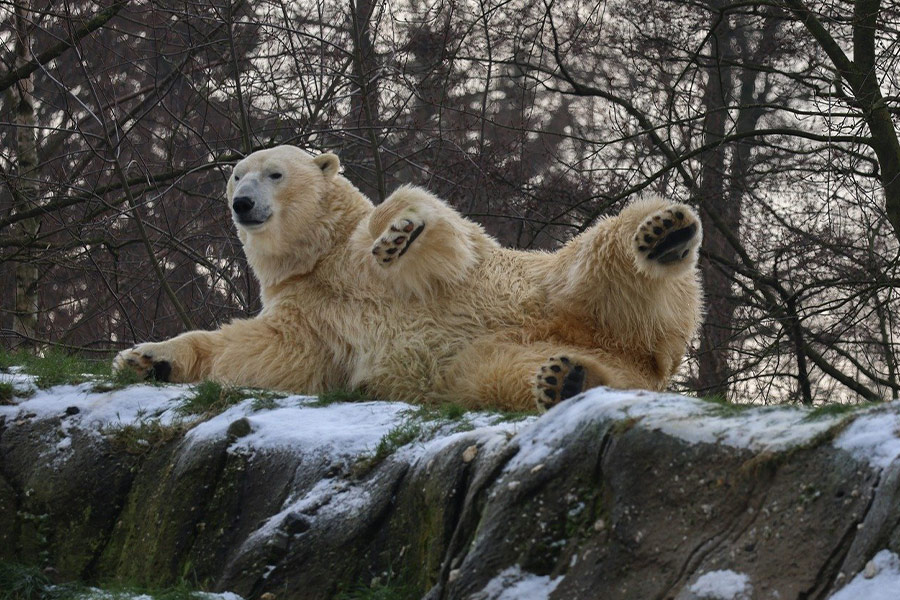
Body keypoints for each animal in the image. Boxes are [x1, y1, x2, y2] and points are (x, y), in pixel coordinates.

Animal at [113, 145, 703, 412]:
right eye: (236, 175)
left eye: (274, 173)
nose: (242, 203)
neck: (323, 256)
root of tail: (647, 357)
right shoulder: (310, 313)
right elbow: (260, 351)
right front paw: (147, 358)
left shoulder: (368, 255)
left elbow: (423, 218)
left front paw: (400, 233)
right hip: (501, 355)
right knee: (518, 374)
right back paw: (569, 380)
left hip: (550, 285)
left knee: (602, 258)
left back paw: (663, 232)